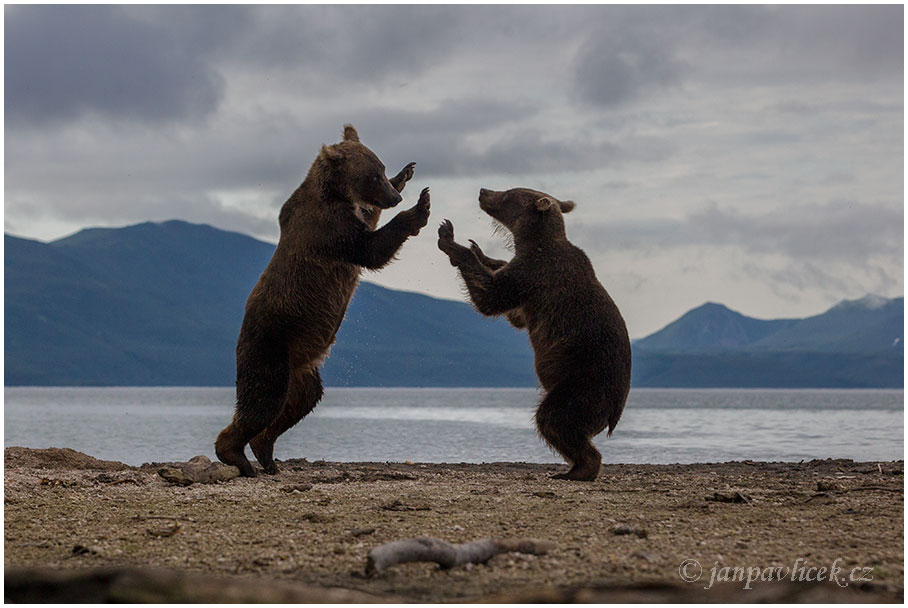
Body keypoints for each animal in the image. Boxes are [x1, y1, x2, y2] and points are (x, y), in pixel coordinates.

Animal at [215, 123, 430, 476]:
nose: (395, 197)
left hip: (302, 371)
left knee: (299, 404)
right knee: (264, 401)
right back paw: (237, 456)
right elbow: (370, 249)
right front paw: (420, 208)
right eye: (373, 175)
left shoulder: (346, 214)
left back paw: (266, 454)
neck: (334, 193)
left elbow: (368, 219)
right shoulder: (328, 228)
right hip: (269, 346)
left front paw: (407, 174)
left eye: (382, 168)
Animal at [436, 188, 628, 482]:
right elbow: (514, 313)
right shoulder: (527, 291)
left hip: (584, 382)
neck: (535, 243)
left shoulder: (536, 275)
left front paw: (452, 241)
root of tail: (616, 410)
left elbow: (492, 297)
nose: (483, 191)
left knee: (555, 419)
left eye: (508, 194)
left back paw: (579, 469)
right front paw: (482, 252)